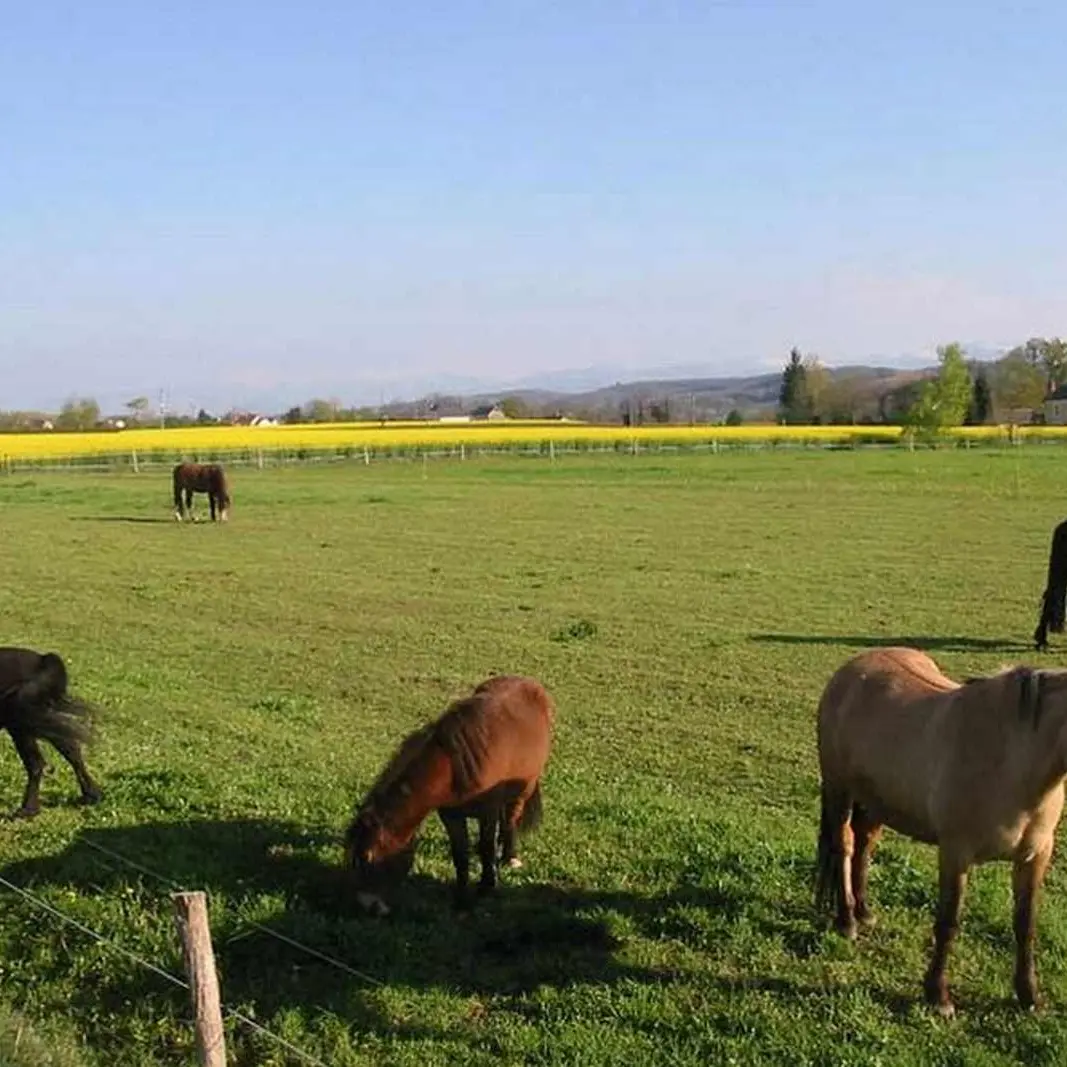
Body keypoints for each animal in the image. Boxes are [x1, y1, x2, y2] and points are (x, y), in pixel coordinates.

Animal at [0, 647, 102, 818]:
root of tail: (44, 659)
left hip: (23, 720)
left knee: (37, 763)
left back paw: (27, 810)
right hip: (34, 719)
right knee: (71, 749)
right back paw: (92, 795)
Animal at [344, 675, 554, 914]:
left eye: (368, 858)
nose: (367, 907)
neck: (455, 766)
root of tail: (528, 682)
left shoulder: (487, 811)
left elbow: (486, 847)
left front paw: (486, 886)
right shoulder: (451, 816)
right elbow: (460, 855)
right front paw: (461, 900)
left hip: (524, 788)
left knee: (511, 818)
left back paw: (510, 856)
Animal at [815, 645, 1067, 1017]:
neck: (1013, 758)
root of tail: (849, 670)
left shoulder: (1034, 857)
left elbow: (1025, 925)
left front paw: (1029, 995)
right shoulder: (955, 853)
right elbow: (948, 921)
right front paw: (938, 995)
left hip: (876, 801)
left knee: (864, 845)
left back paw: (864, 911)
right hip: (839, 790)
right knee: (843, 846)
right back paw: (847, 920)